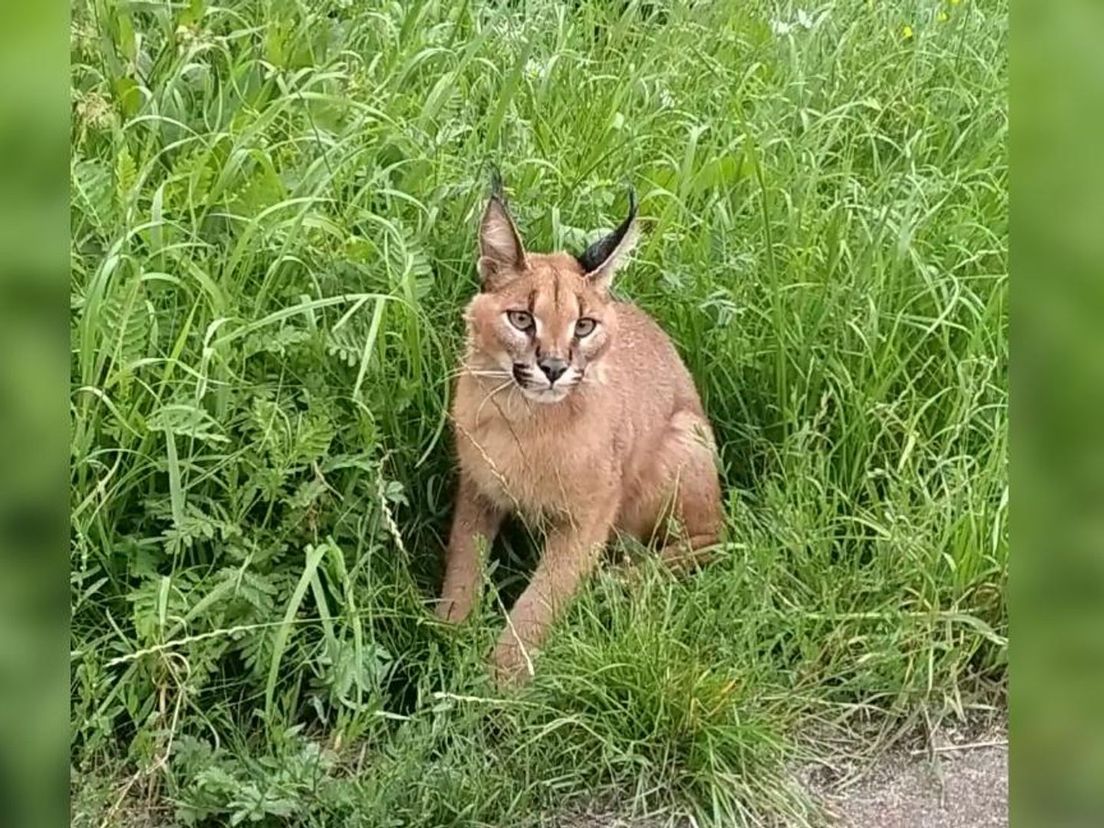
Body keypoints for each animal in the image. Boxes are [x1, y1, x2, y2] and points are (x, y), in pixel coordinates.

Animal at [434, 176, 728, 688]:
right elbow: (463, 562)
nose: (553, 368)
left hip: (682, 439)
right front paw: (447, 631)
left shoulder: (589, 515)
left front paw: (499, 681)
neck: (525, 418)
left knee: (718, 538)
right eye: (521, 318)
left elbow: (541, 598)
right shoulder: (479, 486)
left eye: (584, 326)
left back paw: (618, 581)